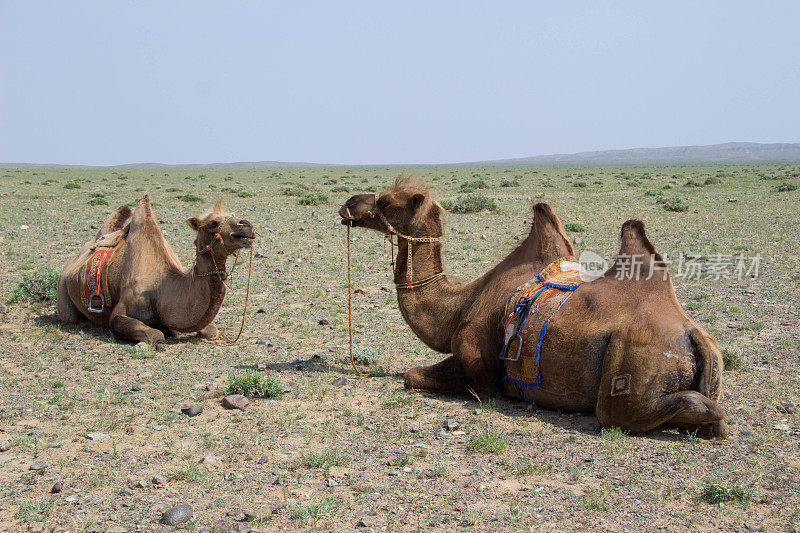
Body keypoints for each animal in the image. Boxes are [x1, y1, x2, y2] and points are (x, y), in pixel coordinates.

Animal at [56, 195, 255, 344]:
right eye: (212, 223)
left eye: (234, 215)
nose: (247, 226)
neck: (161, 287)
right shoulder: (124, 308)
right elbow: (155, 335)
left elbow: (211, 330)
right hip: (63, 288)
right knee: (71, 317)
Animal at [340, 179, 728, 436]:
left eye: (388, 203)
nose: (349, 204)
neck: (460, 305)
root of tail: (692, 334)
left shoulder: (479, 370)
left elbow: (411, 376)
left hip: (633, 370)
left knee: (629, 413)